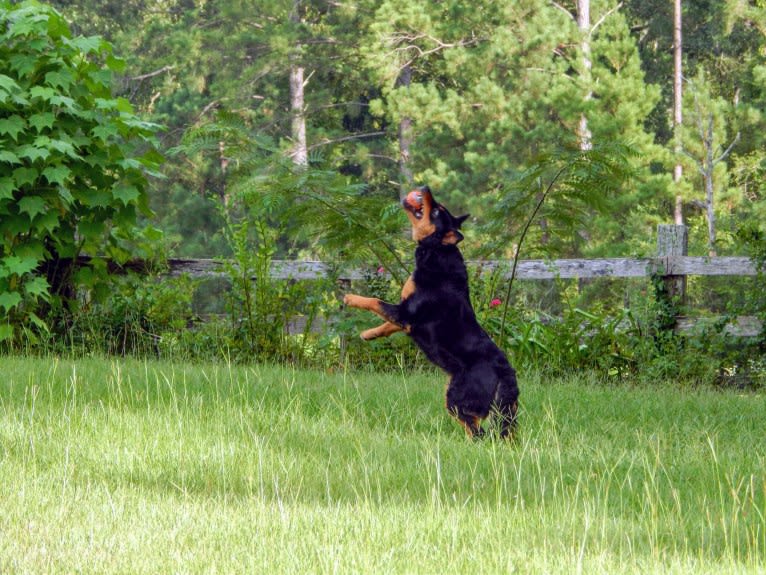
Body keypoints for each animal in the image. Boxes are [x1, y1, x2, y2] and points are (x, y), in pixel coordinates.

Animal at [344, 187, 520, 438]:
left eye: (436, 210)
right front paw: (369, 334)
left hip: (458, 398)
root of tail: (506, 371)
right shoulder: (405, 316)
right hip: (501, 411)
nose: (425, 188)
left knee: (478, 432)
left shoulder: (405, 311)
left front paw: (350, 298)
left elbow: (375, 302)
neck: (438, 250)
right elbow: (387, 325)